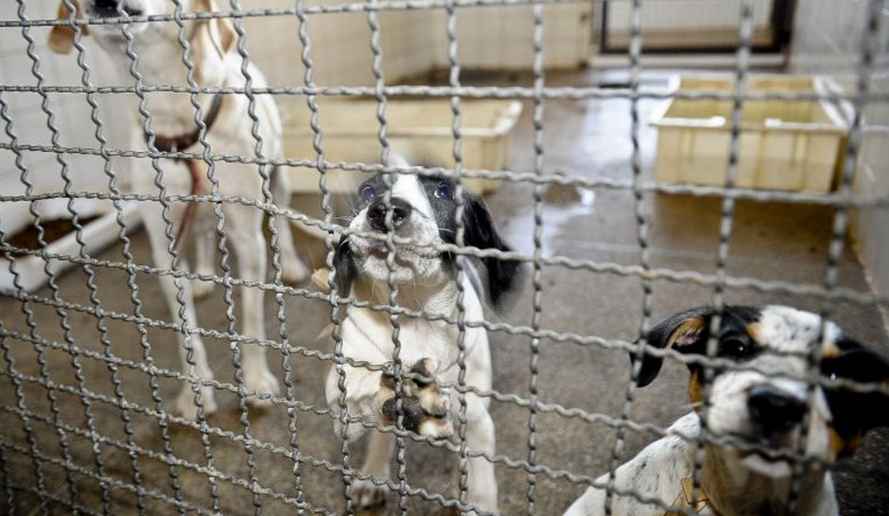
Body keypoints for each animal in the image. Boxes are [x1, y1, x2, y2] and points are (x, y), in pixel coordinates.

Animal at [51, 1, 312, 420]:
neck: (177, 127)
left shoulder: (247, 238)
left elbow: (252, 320)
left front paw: (256, 381)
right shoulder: (164, 247)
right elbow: (186, 331)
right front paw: (195, 392)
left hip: (278, 179)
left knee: (281, 222)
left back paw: (289, 264)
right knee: (204, 232)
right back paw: (203, 276)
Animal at [322, 158, 520, 516]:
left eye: (442, 192)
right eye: (368, 191)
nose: (384, 210)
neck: (414, 315)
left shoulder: (477, 419)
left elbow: (482, 479)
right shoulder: (342, 388)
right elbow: (360, 393)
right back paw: (373, 473)